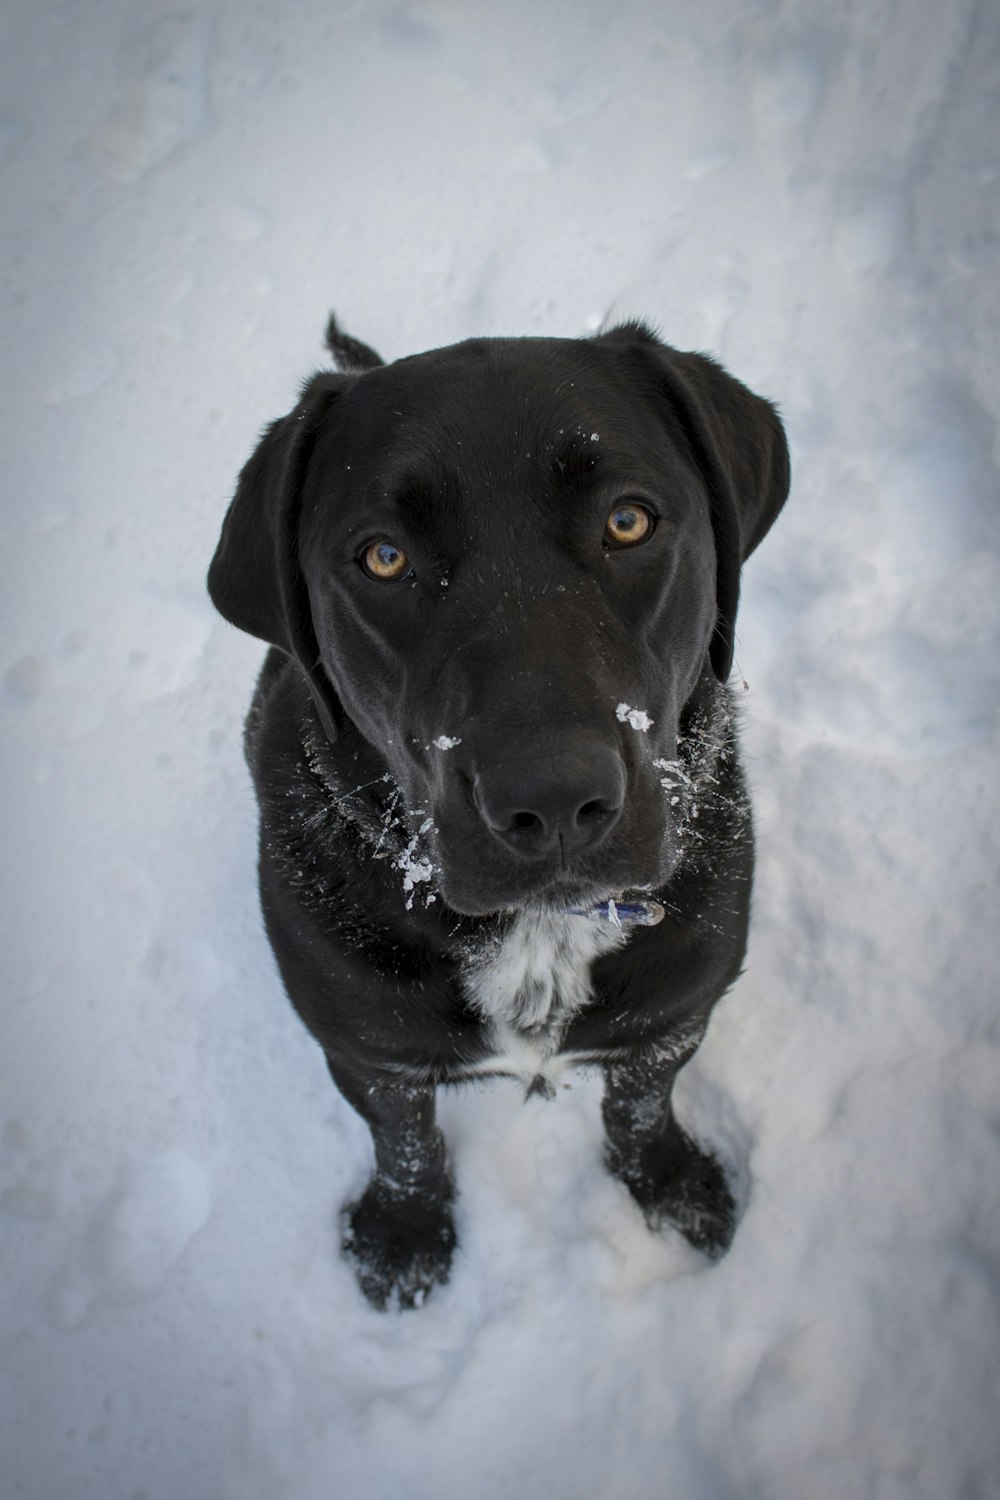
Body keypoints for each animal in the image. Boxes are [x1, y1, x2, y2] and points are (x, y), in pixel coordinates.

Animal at [209, 313, 791, 1302]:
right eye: (384, 557)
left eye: (628, 520)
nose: (553, 798)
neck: (541, 933)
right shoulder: (366, 1048)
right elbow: (404, 1139)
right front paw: (403, 1235)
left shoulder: (675, 1014)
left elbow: (641, 1104)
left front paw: (670, 1188)